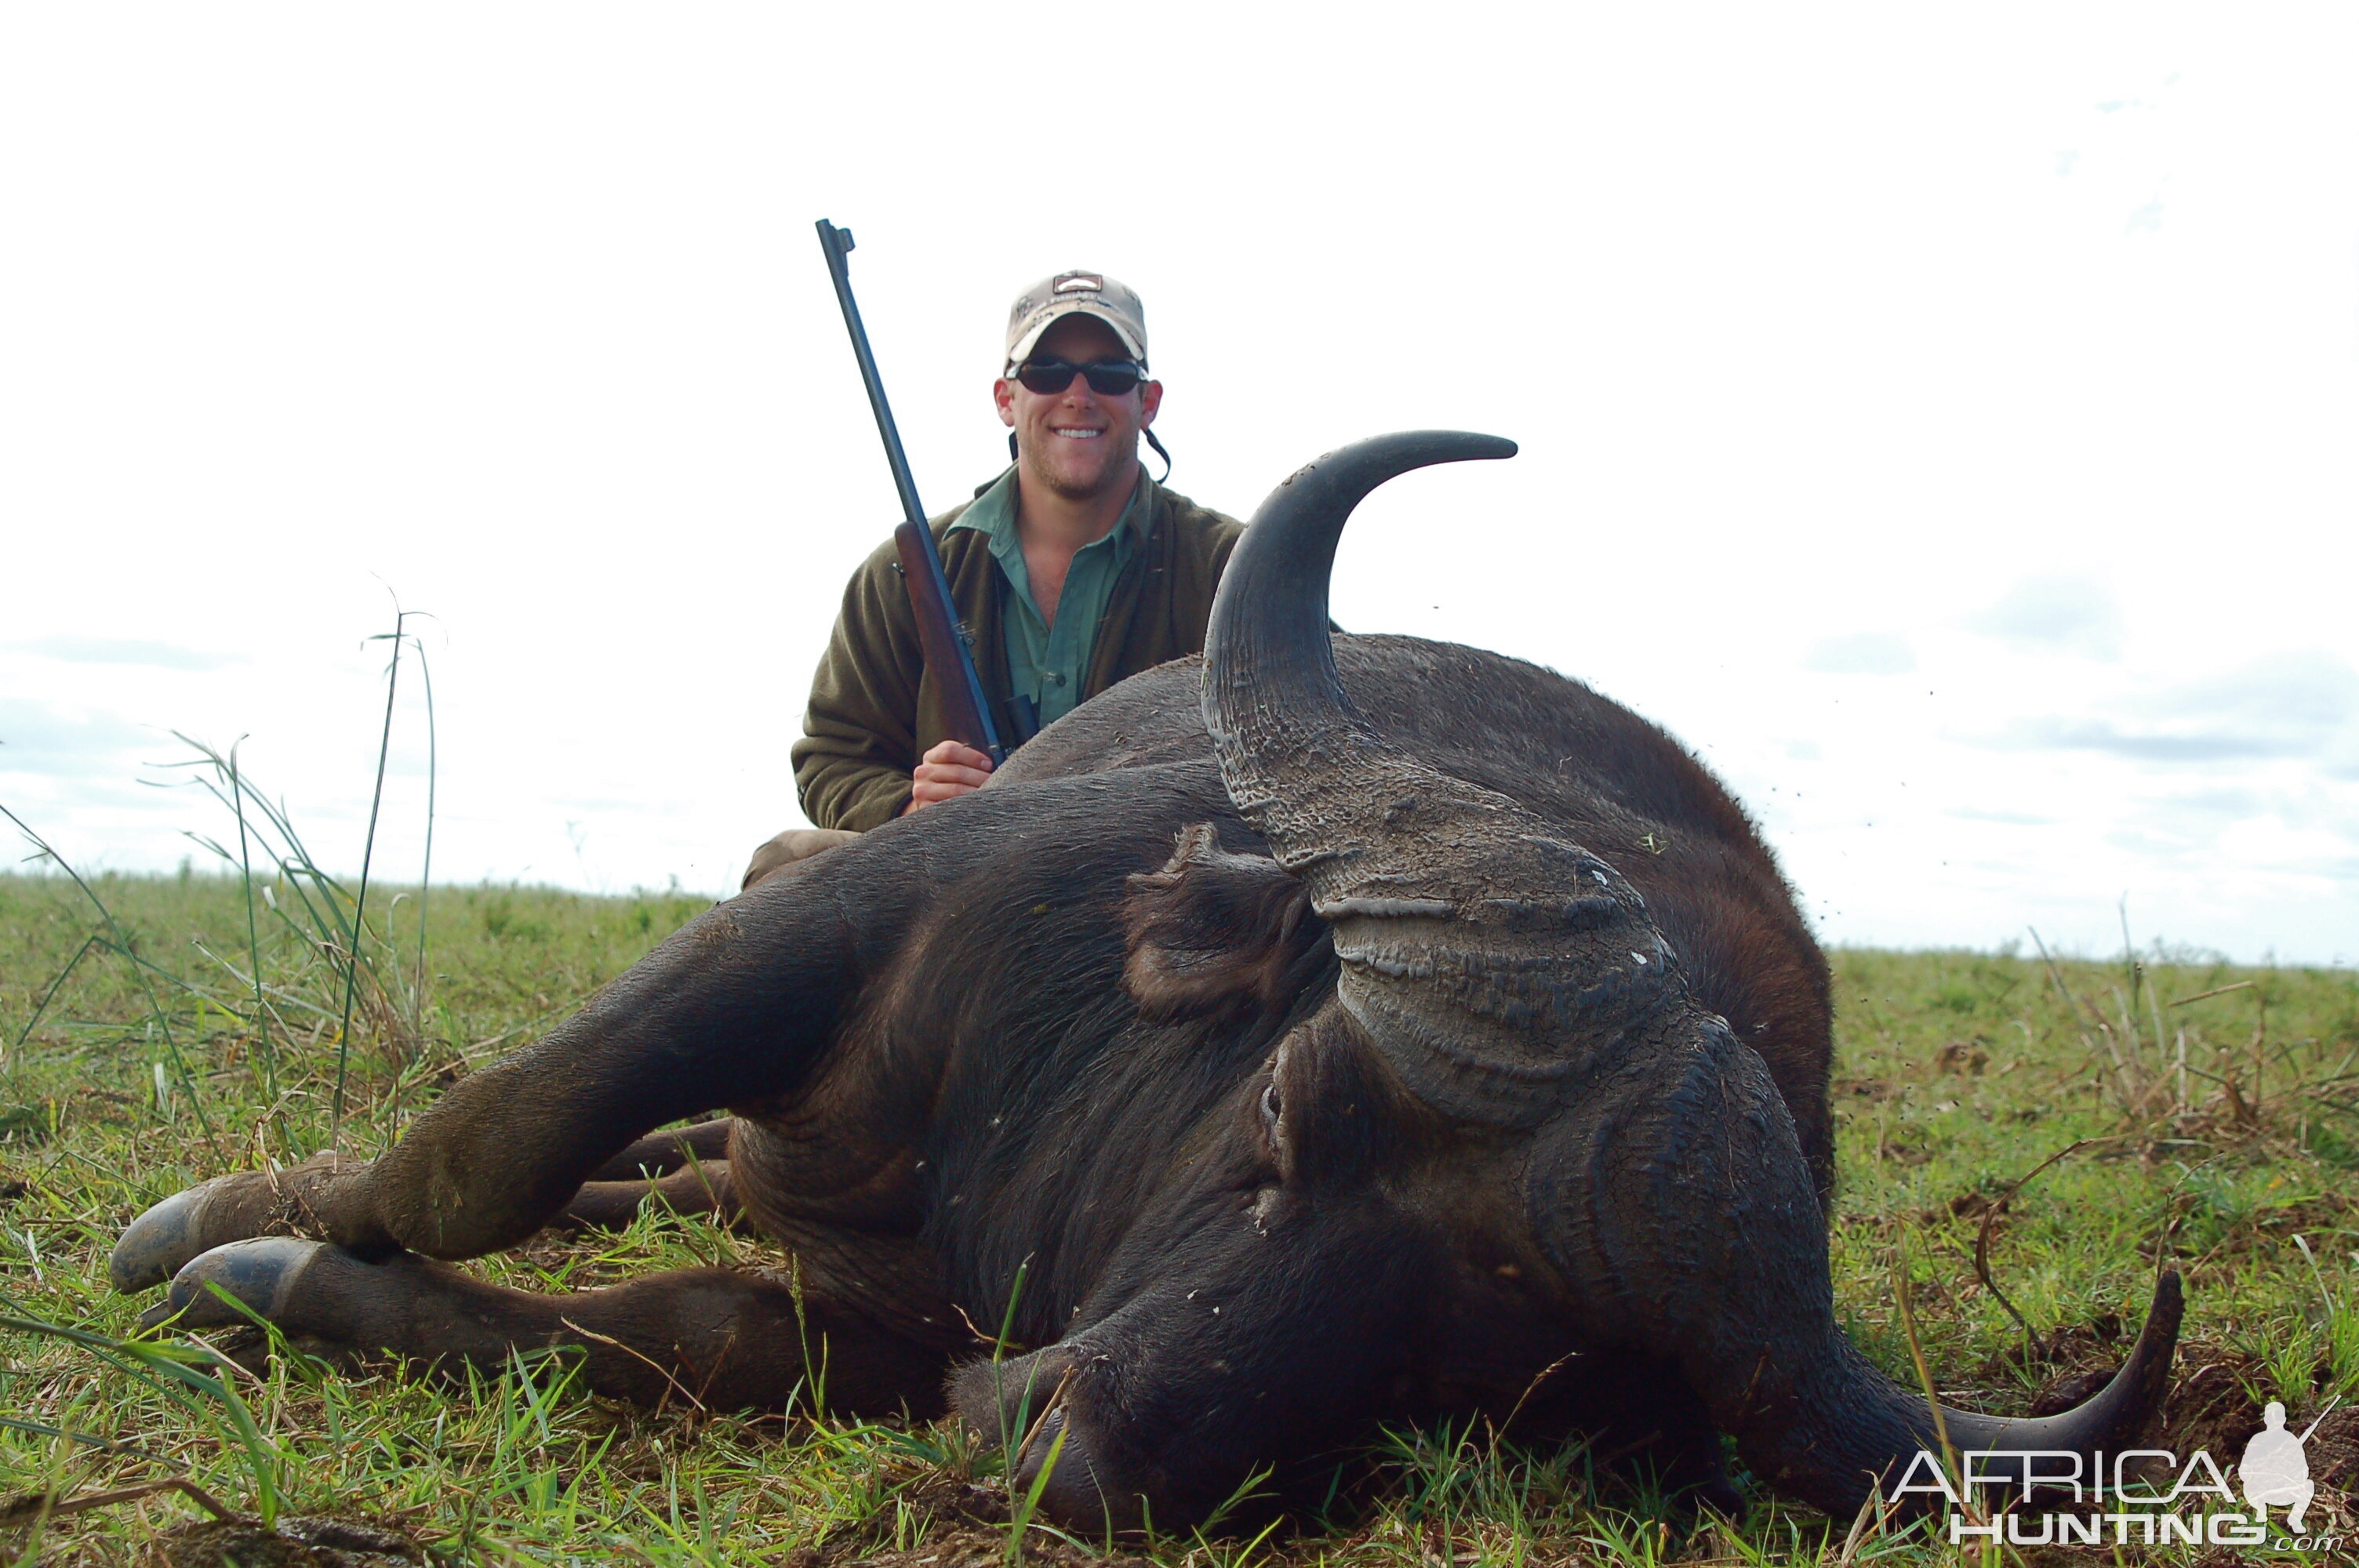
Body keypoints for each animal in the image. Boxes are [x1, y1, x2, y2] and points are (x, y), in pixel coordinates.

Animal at [111, 431, 2170, 1527]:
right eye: (1287, 1105)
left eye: (1492, 1371)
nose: (1057, 1448)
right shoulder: (835, 926)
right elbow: (488, 1143)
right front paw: (208, 1229)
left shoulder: (898, 1326)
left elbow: (689, 1331)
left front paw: (286, 1283)